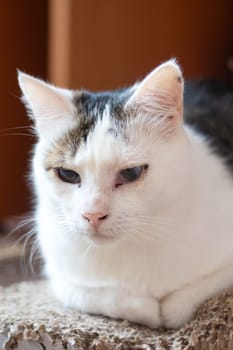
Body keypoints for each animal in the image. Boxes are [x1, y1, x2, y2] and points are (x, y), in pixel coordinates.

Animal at [18, 58, 233, 330]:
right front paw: (146, 309)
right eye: (67, 174)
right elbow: (95, 294)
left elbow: (179, 305)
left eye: (131, 173)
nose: (93, 214)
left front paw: (167, 311)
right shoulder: (59, 277)